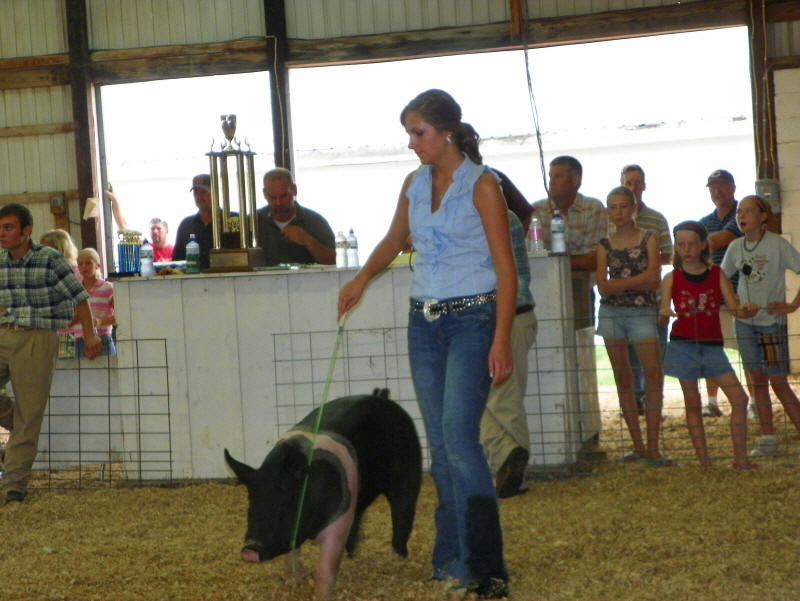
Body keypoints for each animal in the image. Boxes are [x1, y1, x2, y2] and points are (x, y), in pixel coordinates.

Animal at [224, 388, 422, 599]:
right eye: (251, 507)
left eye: (283, 507)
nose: (249, 550)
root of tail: (382, 396)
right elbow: (291, 555)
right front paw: (295, 580)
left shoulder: (339, 521)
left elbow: (326, 566)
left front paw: (322, 595)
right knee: (359, 517)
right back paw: (352, 555)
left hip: (409, 469)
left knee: (403, 512)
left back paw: (396, 558)